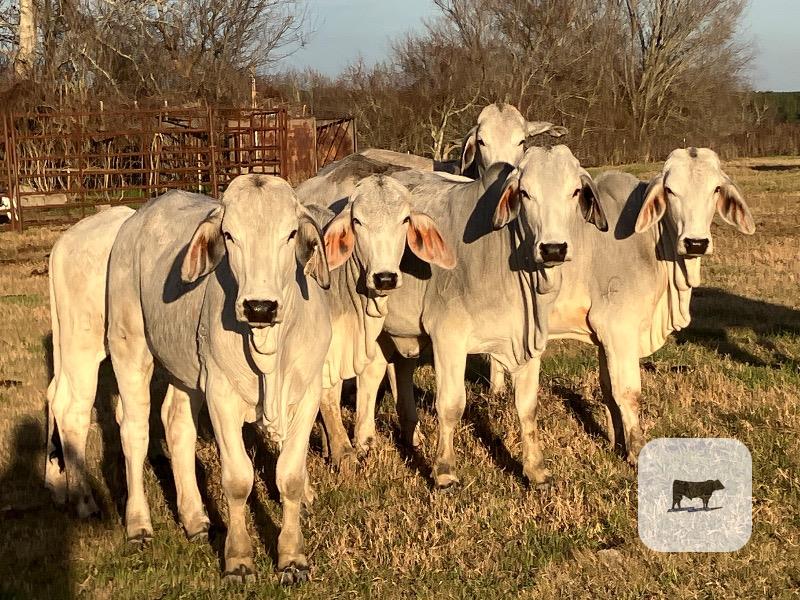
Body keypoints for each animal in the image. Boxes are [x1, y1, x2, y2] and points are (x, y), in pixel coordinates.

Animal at [106, 175, 331, 584]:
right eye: (229, 235)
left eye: (291, 234)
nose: (260, 307)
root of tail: (139, 218)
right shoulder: (221, 395)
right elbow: (238, 480)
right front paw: (238, 560)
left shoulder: (307, 394)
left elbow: (289, 476)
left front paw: (292, 558)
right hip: (128, 342)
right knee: (134, 431)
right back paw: (139, 526)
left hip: (185, 369)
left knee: (177, 424)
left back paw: (195, 519)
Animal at [353, 145, 607, 488]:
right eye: (525, 193)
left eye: (575, 191)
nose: (553, 249)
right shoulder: (448, 337)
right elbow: (450, 404)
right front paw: (445, 472)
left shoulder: (529, 339)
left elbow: (528, 406)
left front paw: (536, 470)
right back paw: (358, 445)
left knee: (386, 371)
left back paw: (397, 438)